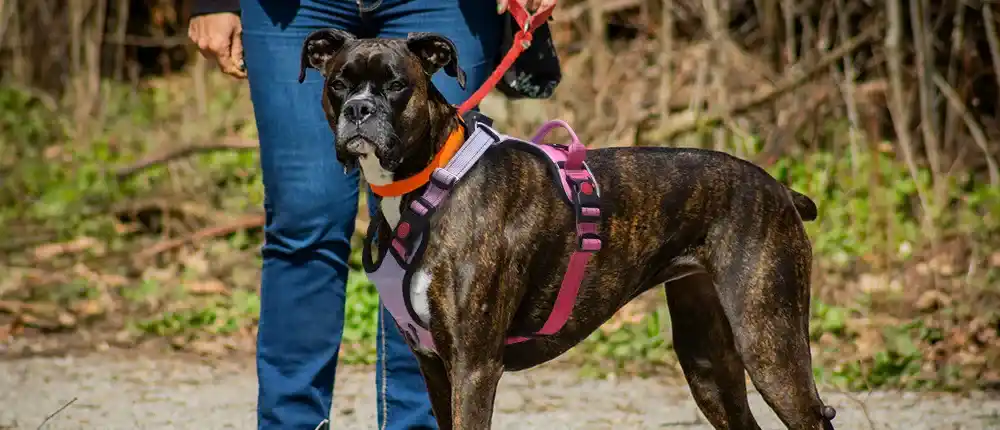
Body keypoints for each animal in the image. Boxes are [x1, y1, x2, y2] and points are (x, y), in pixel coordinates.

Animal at [296, 28, 836, 428]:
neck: (433, 179)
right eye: (339, 83)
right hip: (708, 362)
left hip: (770, 344)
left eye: (395, 85)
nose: (359, 110)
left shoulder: (472, 367)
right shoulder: (433, 366)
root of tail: (779, 189)